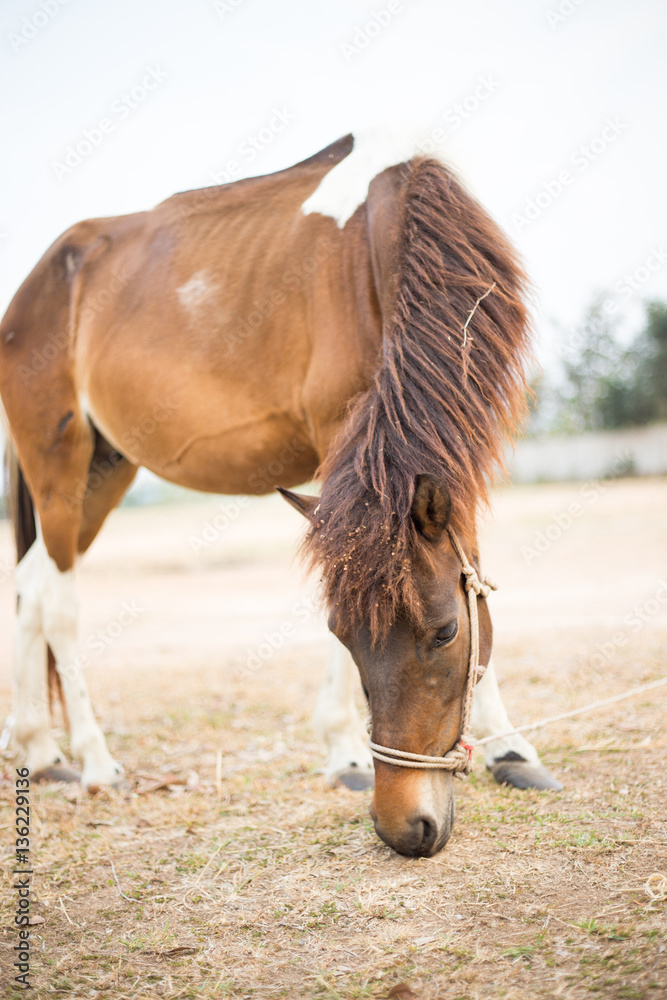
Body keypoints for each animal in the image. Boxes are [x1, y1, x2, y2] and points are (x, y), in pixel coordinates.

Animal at [0, 133, 561, 858]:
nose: (404, 828)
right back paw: (95, 762)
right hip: (58, 465)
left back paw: (40, 752)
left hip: (103, 469)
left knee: (28, 586)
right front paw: (347, 754)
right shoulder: (335, 439)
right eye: (340, 635)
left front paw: (509, 751)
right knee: (57, 601)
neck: (377, 245)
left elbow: (473, 576)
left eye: (444, 633)